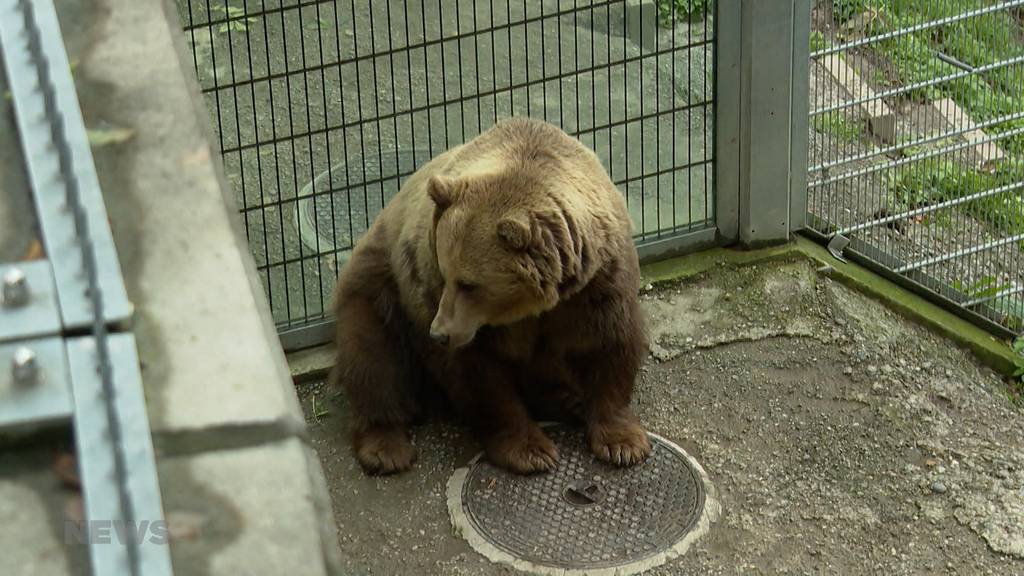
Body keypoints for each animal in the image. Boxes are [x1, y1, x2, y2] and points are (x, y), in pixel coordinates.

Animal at [331, 117, 651, 475]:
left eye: (469, 283)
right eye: (445, 273)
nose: (439, 333)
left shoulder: (596, 284)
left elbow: (610, 345)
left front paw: (622, 442)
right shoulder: (454, 309)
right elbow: (480, 376)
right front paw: (529, 450)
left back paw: (568, 400)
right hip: (381, 287)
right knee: (371, 356)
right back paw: (386, 446)